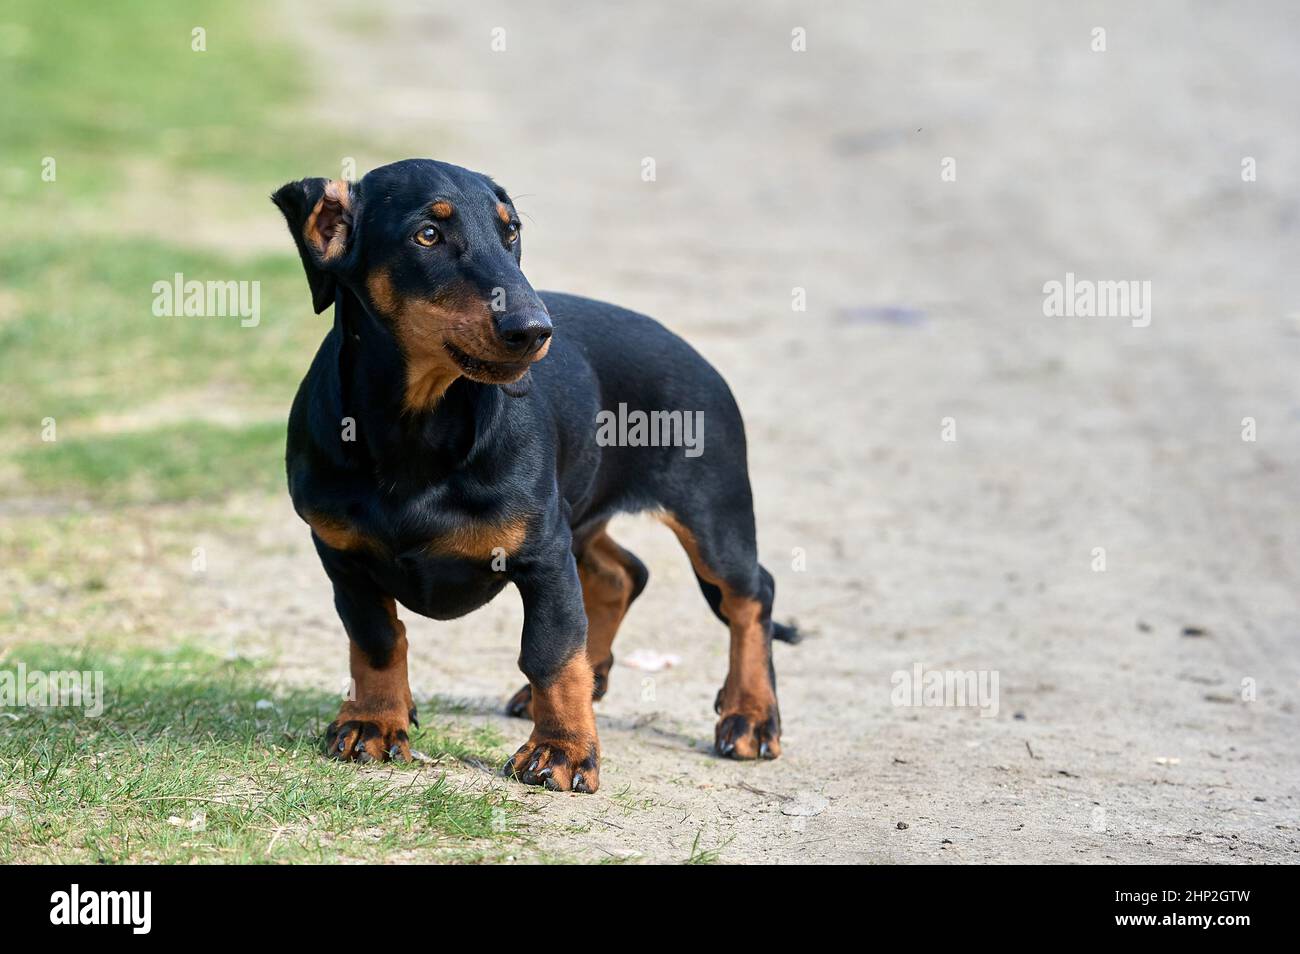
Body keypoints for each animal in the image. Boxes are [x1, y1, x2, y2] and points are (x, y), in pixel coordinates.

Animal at [271, 160, 790, 795]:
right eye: (427, 235)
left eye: (511, 231)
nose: (534, 329)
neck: (418, 426)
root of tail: (694, 354)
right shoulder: (342, 554)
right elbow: (375, 639)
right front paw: (374, 722)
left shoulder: (543, 557)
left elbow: (550, 651)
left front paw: (562, 751)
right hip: (579, 518)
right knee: (623, 575)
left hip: (711, 515)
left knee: (751, 595)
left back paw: (751, 716)